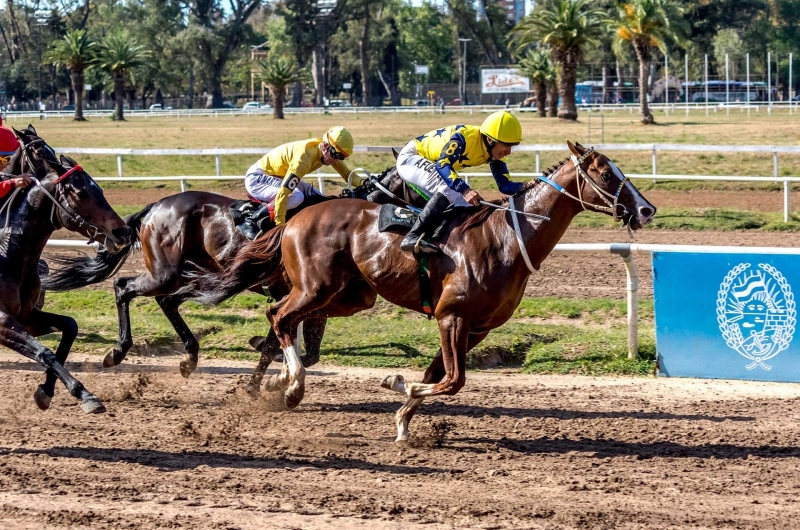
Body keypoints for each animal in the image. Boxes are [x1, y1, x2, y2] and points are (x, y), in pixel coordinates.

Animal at [0, 125, 130, 412]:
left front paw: (47, 390)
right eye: (81, 193)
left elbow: (69, 327)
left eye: (99, 188)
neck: (8, 253)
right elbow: (44, 352)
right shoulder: (2, 321)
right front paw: (85, 394)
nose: (123, 232)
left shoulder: (27, 316)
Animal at [39, 167, 424, 390]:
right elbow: (277, 341)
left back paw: (189, 356)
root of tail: (154, 207)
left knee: (166, 300)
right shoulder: (296, 293)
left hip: (197, 273)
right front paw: (265, 379)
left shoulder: (312, 300)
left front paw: (260, 380)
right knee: (125, 287)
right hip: (166, 271)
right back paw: (117, 352)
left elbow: (299, 349)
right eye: (419, 188)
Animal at [188, 140, 656, 442]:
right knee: (281, 317)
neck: (507, 237)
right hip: (316, 287)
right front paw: (403, 389)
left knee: (282, 319)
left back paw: (277, 380)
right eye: (604, 173)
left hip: (347, 295)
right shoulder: (452, 317)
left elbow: (438, 376)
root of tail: (294, 216)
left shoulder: (476, 328)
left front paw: (402, 417)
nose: (646, 209)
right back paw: (291, 386)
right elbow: (452, 381)